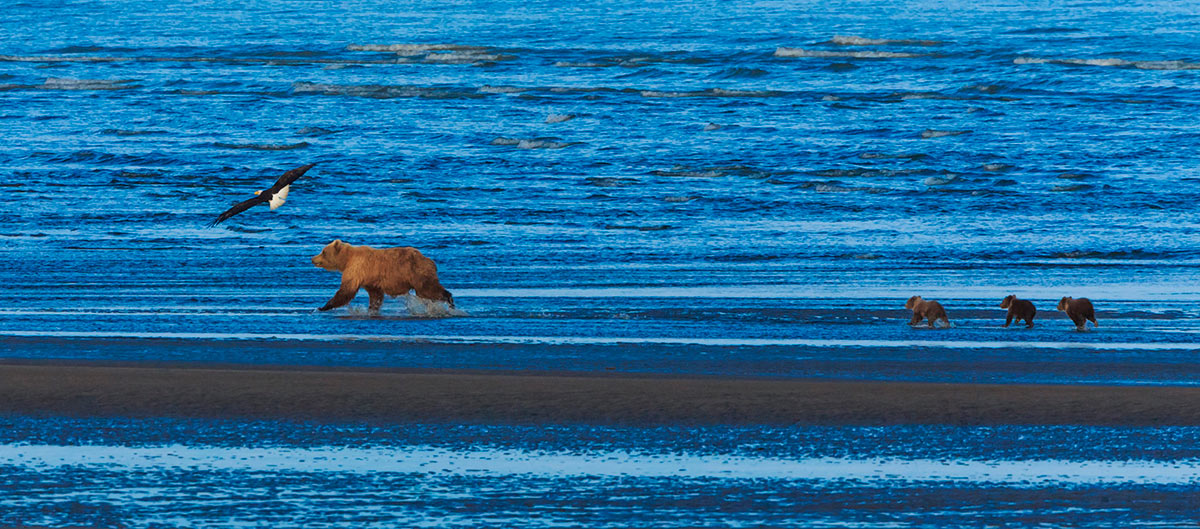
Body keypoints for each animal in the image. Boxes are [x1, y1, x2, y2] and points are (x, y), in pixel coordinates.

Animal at [309, 238, 453, 314]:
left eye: (323, 251)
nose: (312, 258)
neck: (346, 260)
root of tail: (430, 260)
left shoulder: (356, 270)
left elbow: (346, 291)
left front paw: (323, 307)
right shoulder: (370, 279)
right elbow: (375, 295)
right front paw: (372, 308)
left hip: (417, 273)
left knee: (429, 289)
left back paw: (449, 300)